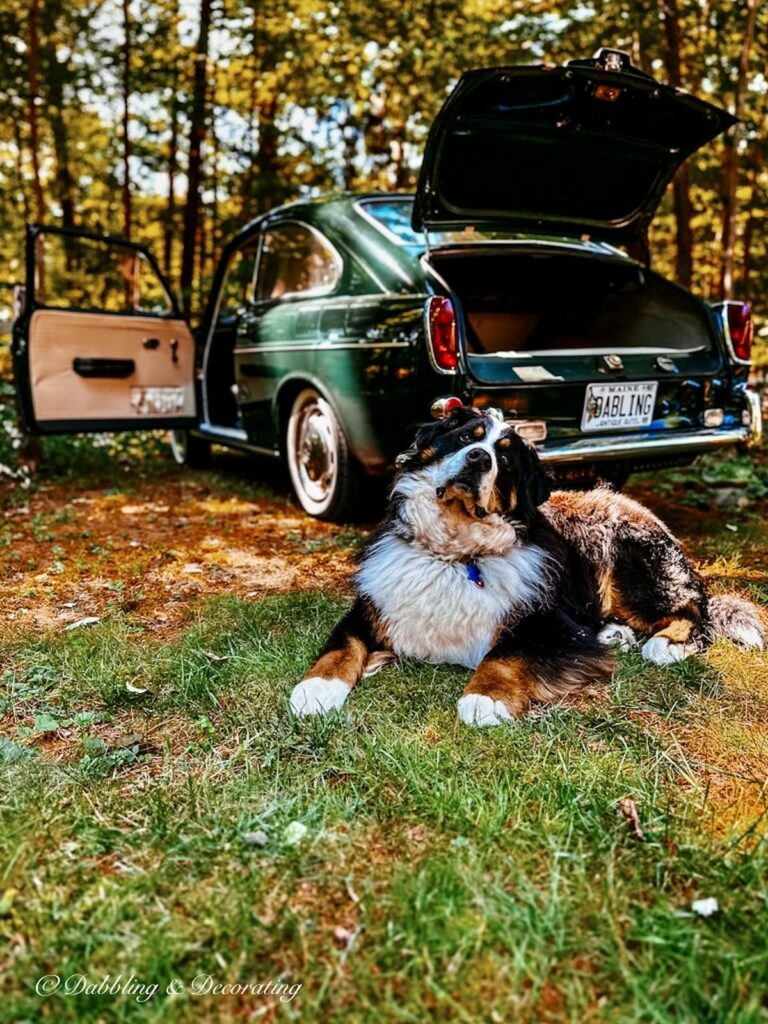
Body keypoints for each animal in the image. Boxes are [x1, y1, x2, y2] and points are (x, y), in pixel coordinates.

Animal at [288, 403, 765, 724]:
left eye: (505, 458)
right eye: (465, 439)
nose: (479, 459)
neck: (455, 554)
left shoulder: (548, 623)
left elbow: (506, 654)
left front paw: (485, 699)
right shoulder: (373, 605)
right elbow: (342, 646)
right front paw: (316, 689)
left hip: (625, 560)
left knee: (692, 609)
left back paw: (663, 645)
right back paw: (614, 634)